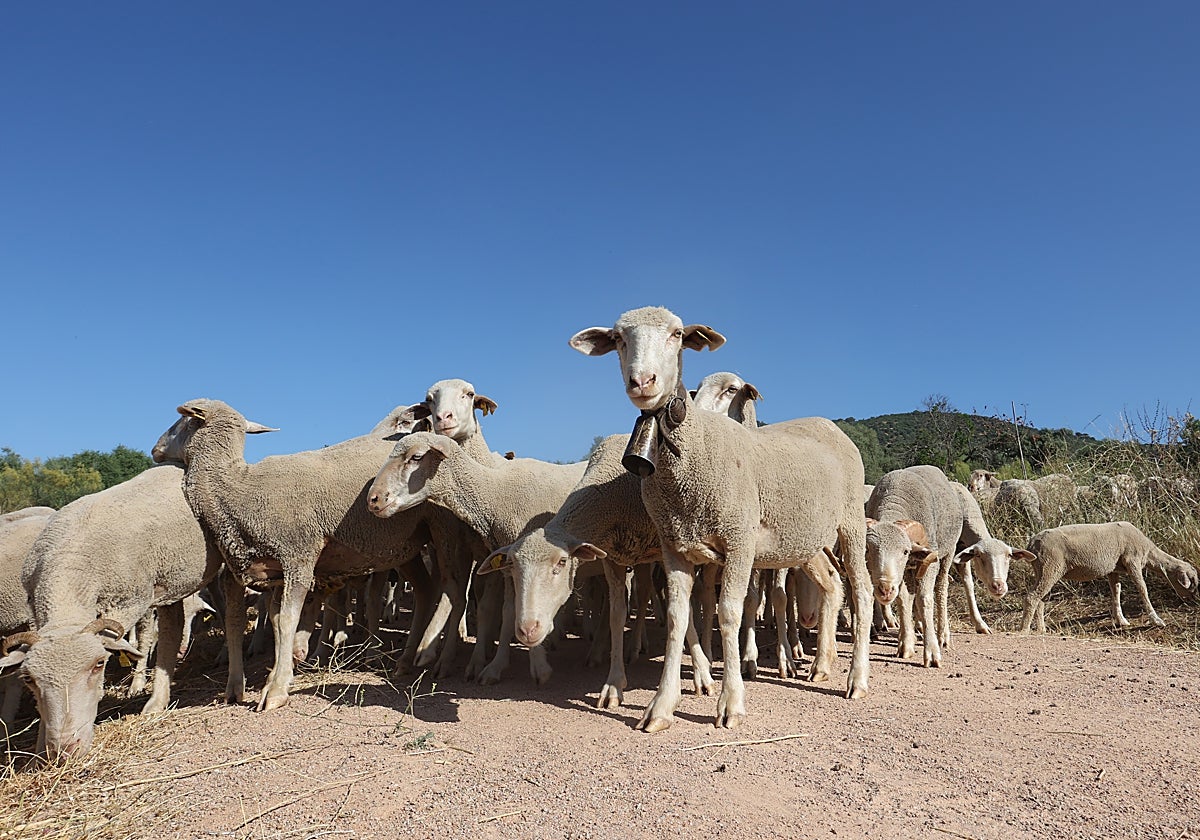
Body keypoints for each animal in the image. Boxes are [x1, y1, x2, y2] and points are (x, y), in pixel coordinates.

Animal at [0, 465, 223, 759]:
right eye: (29, 678)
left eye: (99, 664)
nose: (66, 750)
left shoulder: (130, 600)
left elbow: (134, 642)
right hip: (170, 580)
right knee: (172, 629)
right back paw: (158, 699)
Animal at [155, 399, 437, 712]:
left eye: (180, 423)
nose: (155, 450)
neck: (240, 486)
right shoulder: (274, 572)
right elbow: (273, 622)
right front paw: (275, 675)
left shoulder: (299, 557)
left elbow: (289, 620)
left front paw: (276, 690)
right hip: (406, 548)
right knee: (426, 589)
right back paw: (407, 659)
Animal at [367, 432, 586, 686]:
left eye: (416, 457)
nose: (373, 499)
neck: (497, 494)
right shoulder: (509, 565)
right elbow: (509, 610)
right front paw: (496, 666)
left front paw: (539, 666)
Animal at [569, 306, 868, 731]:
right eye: (619, 339)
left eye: (677, 334)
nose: (642, 381)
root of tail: (828, 424)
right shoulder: (675, 546)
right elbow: (678, 618)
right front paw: (662, 706)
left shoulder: (740, 541)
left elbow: (728, 613)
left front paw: (731, 701)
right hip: (808, 539)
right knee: (833, 583)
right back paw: (822, 665)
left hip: (851, 523)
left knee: (860, 591)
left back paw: (856, 679)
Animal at [1020, 521, 1199, 632]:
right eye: (1192, 582)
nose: (1193, 600)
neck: (1149, 553)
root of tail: (1031, 544)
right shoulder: (1132, 561)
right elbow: (1143, 589)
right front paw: (1157, 620)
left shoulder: (1114, 569)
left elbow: (1116, 591)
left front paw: (1121, 620)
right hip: (1050, 566)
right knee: (1032, 597)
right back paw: (1024, 629)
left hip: (1043, 570)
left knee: (1040, 599)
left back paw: (1041, 629)